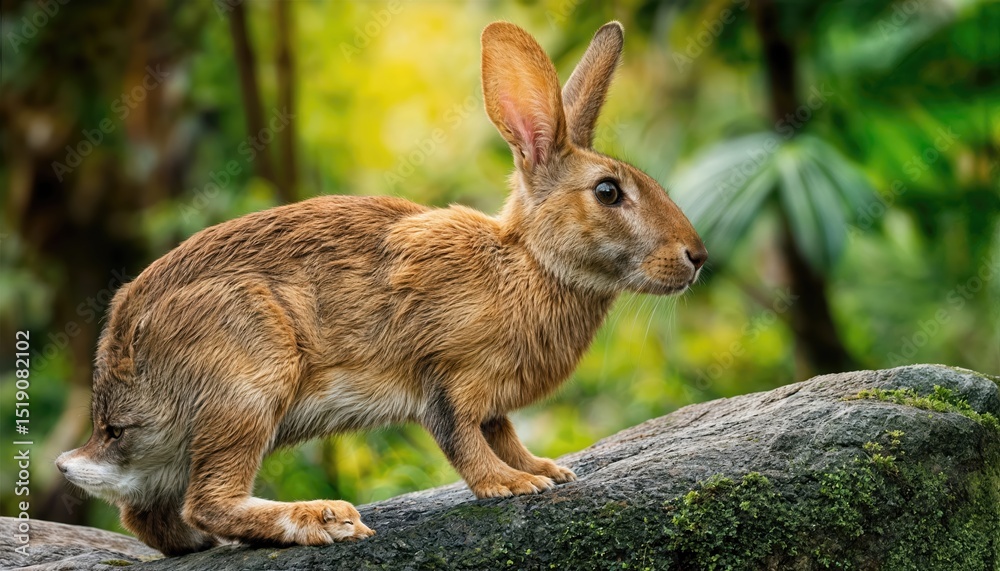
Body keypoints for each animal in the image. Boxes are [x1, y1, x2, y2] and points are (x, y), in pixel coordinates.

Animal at [55, 20, 706, 556]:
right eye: (608, 192)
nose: (696, 258)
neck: (528, 262)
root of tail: (112, 414)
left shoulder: (491, 400)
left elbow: (503, 432)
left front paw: (547, 470)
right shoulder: (446, 377)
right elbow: (464, 440)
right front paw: (512, 485)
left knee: (154, 519)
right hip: (247, 377)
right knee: (210, 500)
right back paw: (324, 520)